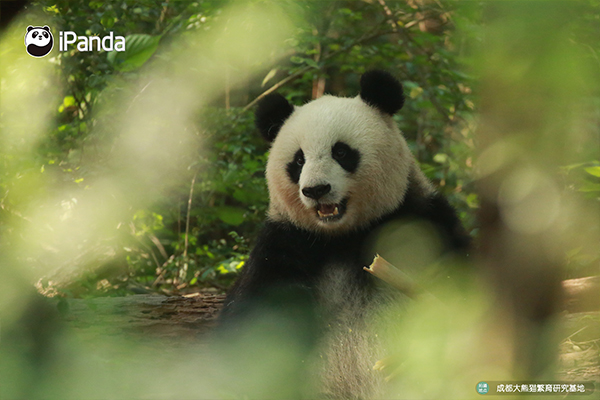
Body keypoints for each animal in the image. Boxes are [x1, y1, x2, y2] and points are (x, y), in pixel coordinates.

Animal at [218, 70, 472, 398]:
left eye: (340, 151)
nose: (316, 190)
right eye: (298, 160)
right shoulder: (284, 243)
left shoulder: (421, 219)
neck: (342, 236)